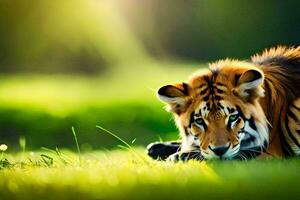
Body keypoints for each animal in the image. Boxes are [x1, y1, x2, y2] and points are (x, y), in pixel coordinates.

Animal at [147, 45, 300, 161]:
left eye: (233, 118)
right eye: (200, 121)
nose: (220, 151)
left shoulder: (270, 152)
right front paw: (156, 147)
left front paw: (179, 155)